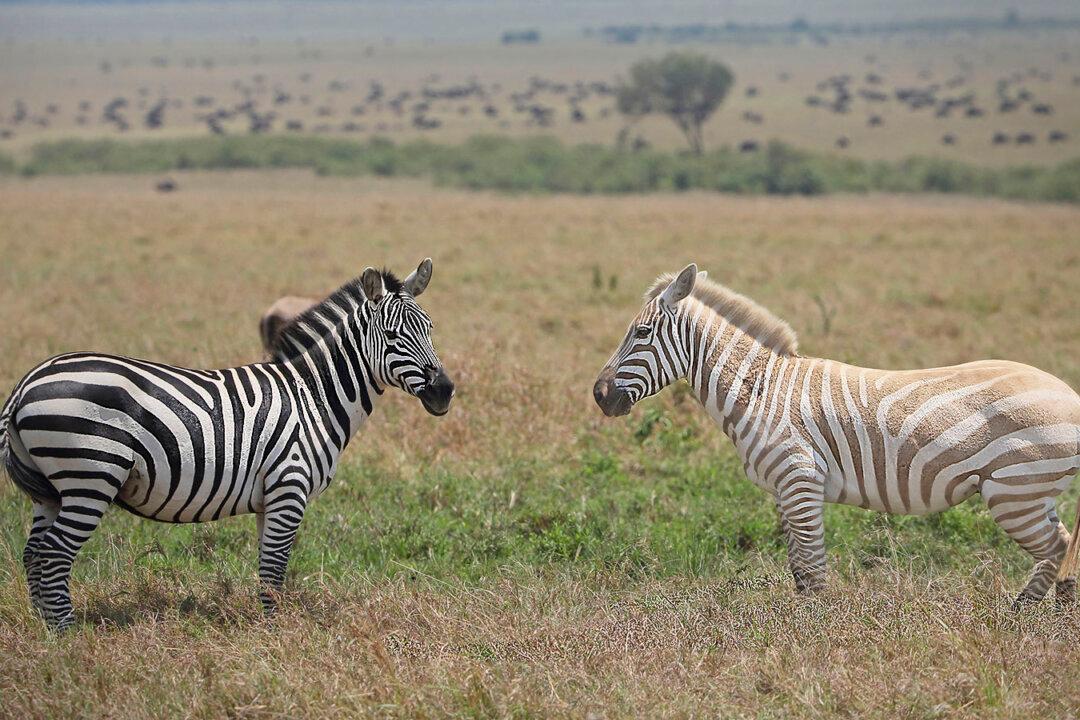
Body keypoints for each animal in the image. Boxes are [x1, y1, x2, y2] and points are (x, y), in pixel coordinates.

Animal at [0, 259, 455, 630]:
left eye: (431, 329)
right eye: (393, 335)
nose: (445, 391)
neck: (312, 395)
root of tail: (25, 385)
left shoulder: (270, 497)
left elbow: (269, 569)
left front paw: (270, 629)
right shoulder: (289, 487)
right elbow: (273, 570)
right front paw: (276, 638)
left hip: (51, 489)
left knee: (34, 553)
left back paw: (46, 631)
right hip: (90, 475)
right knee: (55, 554)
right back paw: (68, 636)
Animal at [593, 263, 1080, 608]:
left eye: (640, 332)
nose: (598, 395)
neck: (762, 390)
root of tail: (1070, 394)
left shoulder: (799, 480)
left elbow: (811, 570)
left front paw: (816, 635)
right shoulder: (784, 490)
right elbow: (798, 566)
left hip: (1014, 491)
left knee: (1057, 547)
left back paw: (1023, 616)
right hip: (1033, 491)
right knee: (1065, 544)